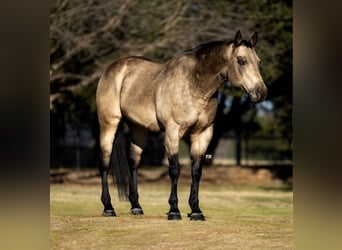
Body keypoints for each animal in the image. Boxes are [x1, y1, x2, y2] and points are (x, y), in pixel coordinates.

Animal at [95, 30, 268, 221]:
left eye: (258, 61)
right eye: (241, 60)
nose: (261, 92)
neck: (194, 84)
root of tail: (113, 68)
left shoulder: (202, 134)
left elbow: (196, 171)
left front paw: (196, 210)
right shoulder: (173, 132)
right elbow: (175, 169)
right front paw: (174, 210)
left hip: (138, 129)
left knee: (134, 163)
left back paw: (136, 207)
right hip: (109, 124)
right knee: (104, 163)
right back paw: (108, 208)